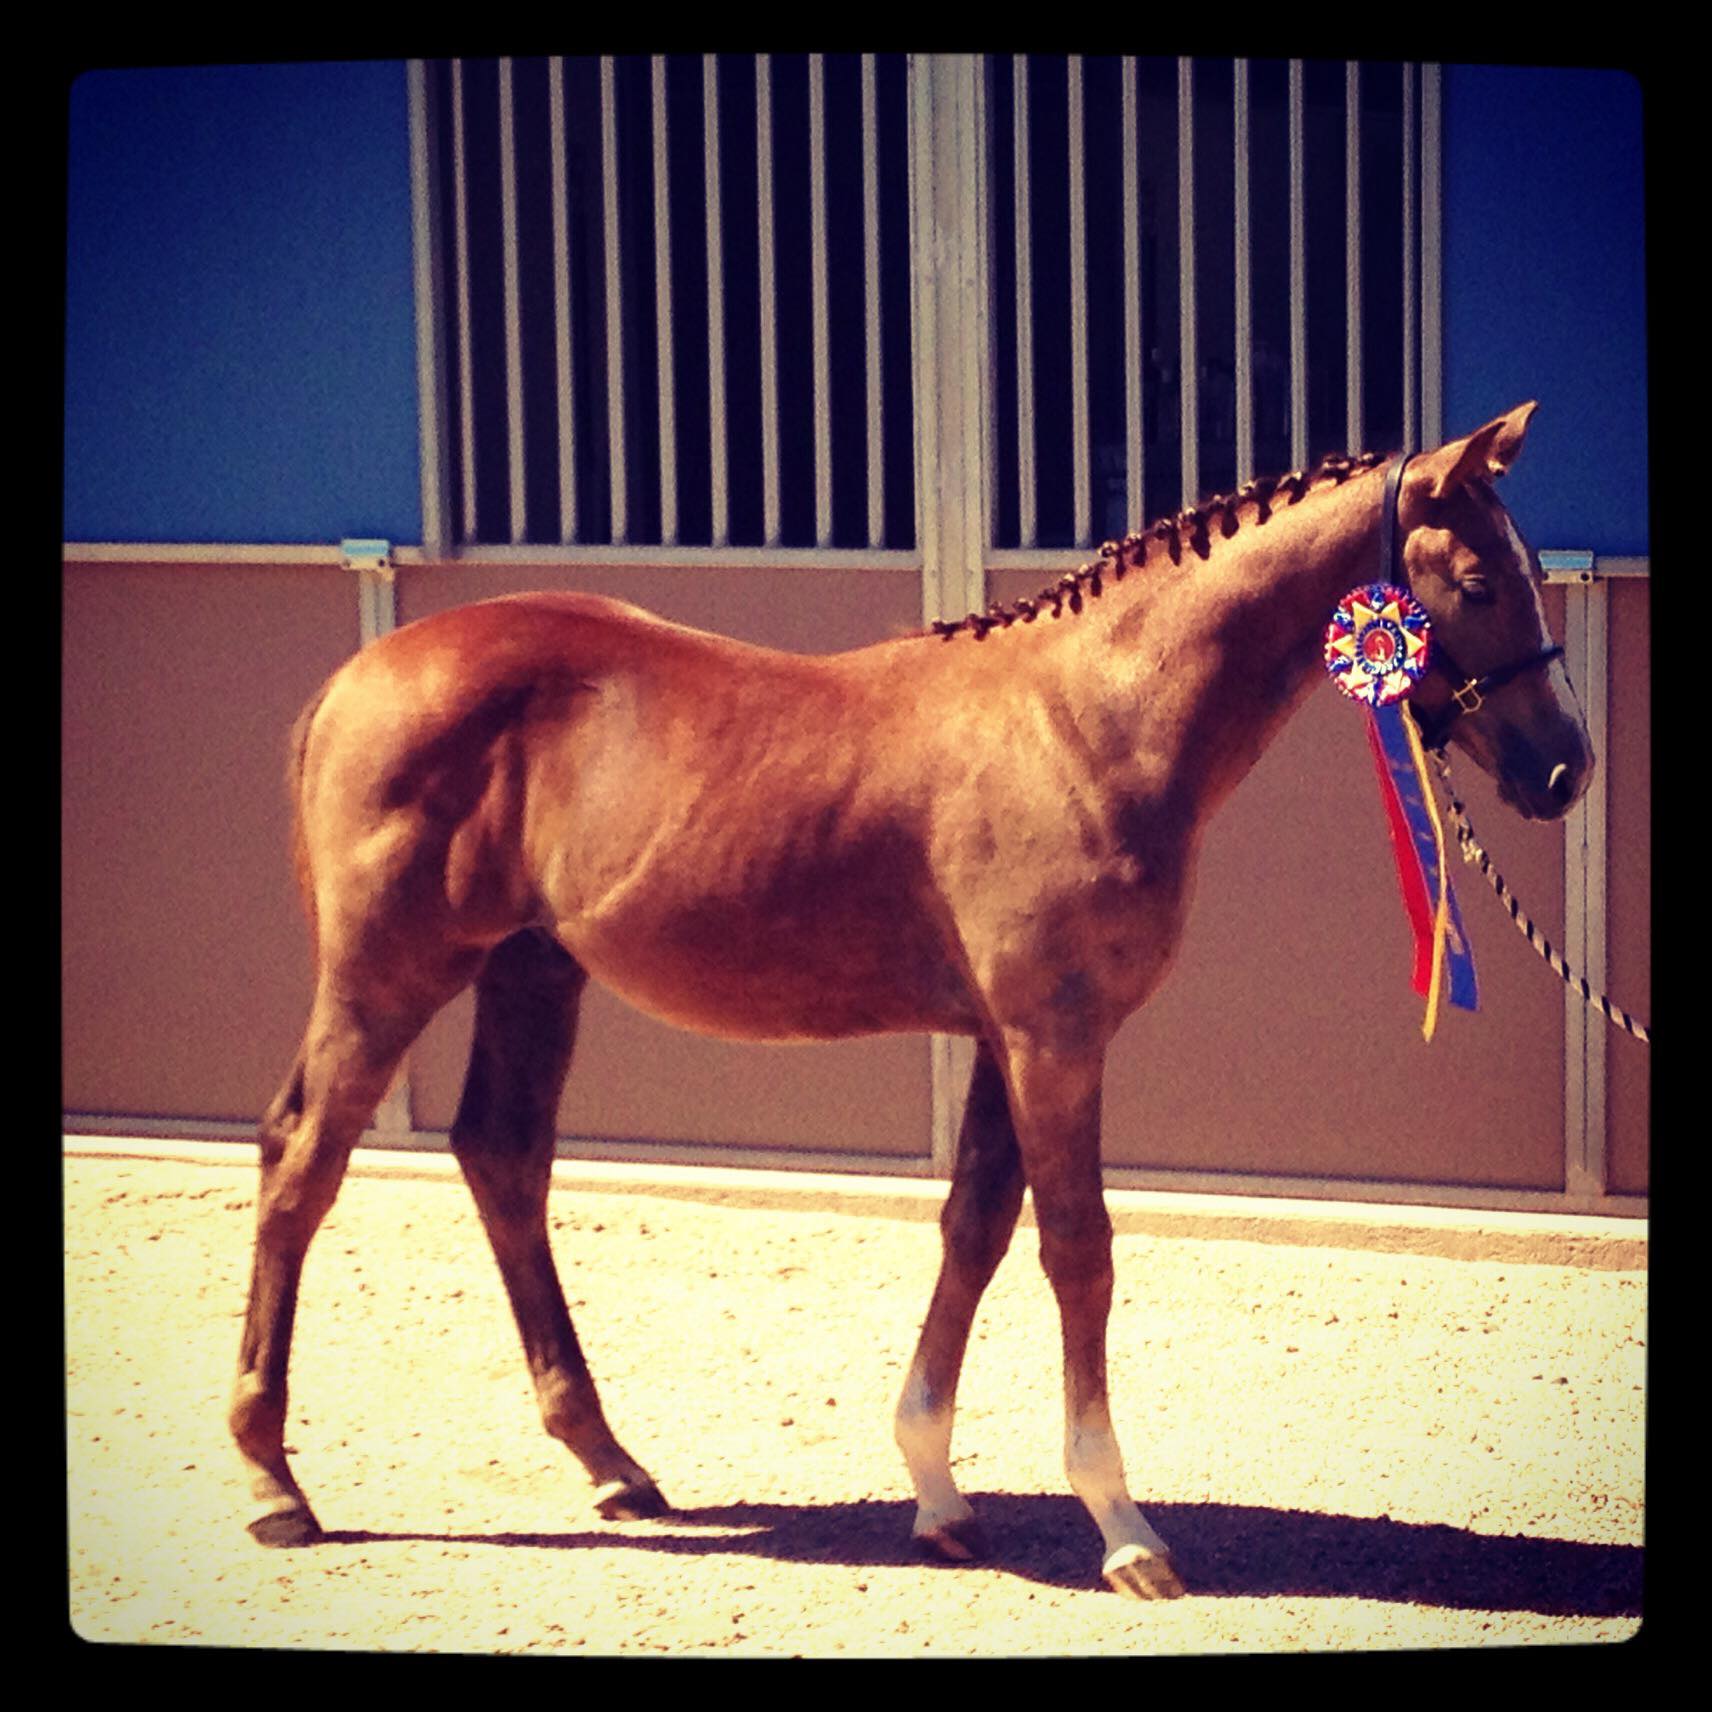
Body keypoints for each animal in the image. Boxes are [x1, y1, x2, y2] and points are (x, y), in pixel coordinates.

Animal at [227, 400, 1588, 1588]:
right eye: (1477, 582)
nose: (1562, 767)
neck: (1085, 720)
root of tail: (362, 674)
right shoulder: (1053, 1034)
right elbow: (1076, 1248)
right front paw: (1121, 1526)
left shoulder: (1001, 1035)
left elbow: (973, 1229)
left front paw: (936, 1495)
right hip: (388, 972)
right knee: (302, 1159)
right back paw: (275, 1482)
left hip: (529, 968)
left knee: (502, 1156)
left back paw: (613, 1464)